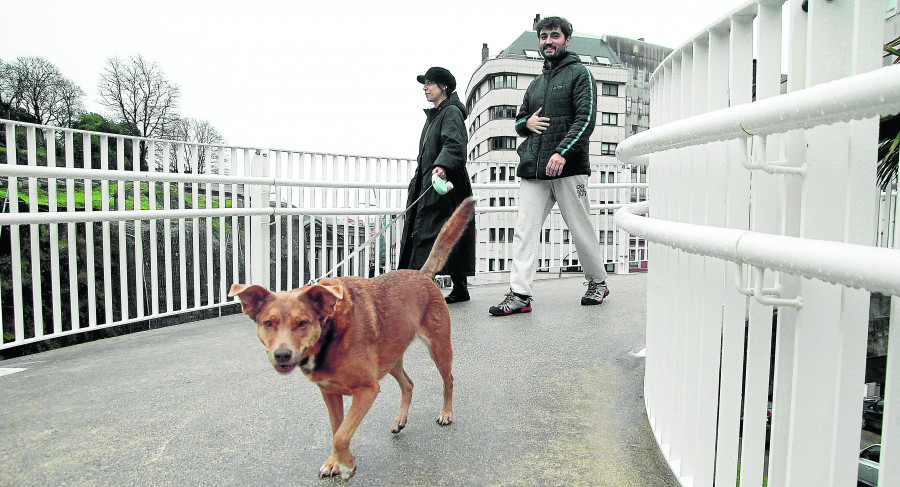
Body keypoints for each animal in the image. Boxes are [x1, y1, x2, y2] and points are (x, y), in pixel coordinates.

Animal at [229, 197, 474, 480]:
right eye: (268, 323)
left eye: (302, 323)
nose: (282, 355)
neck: (330, 333)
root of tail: (421, 274)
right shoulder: (330, 394)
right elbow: (337, 428)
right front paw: (335, 462)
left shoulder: (367, 390)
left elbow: (342, 435)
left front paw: (346, 464)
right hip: (390, 359)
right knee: (409, 384)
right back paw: (400, 419)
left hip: (439, 349)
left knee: (449, 381)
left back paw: (446, 413)